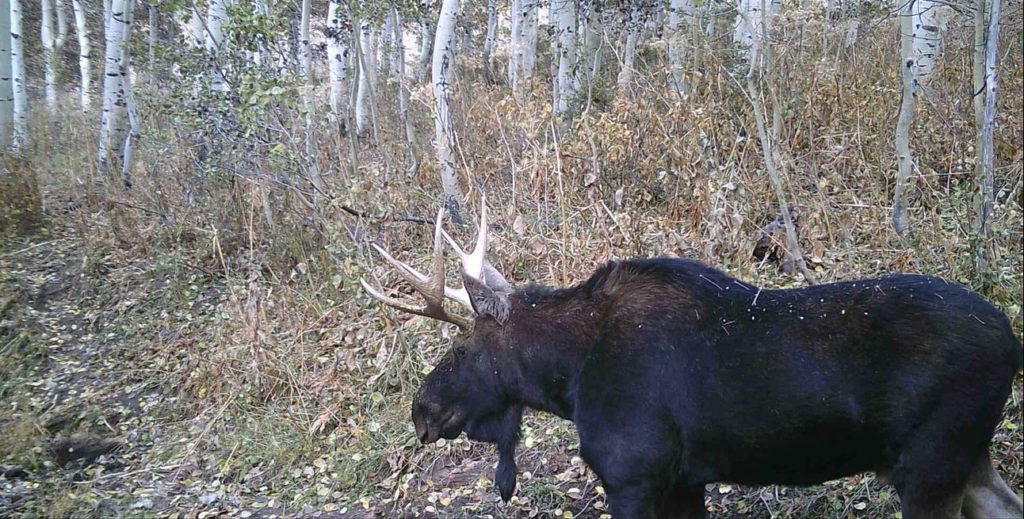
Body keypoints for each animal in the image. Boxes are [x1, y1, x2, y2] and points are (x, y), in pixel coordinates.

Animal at [362, 197, 1024, 519]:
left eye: (462, 346)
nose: (422, 410)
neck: (568, 380)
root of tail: (1013, 343)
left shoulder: (632, 474)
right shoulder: (684, 479)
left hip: (930, 464)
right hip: (964, 458)